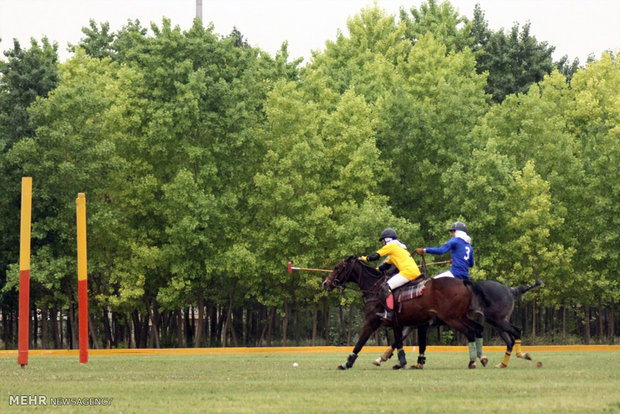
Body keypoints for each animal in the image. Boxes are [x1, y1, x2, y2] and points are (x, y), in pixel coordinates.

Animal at [322, 258, 482, 370]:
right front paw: (400, 361)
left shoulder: (372, 321)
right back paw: (481, 358)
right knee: (477, 328)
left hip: (451, 318)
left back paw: (472, 361)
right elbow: (398, 341)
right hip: (459, 316)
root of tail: (464, 283)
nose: (325, 283)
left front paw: (346, 364)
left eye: (337, 267)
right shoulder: (399, 323)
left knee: (470, 331)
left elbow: (360, 342)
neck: (374, 288)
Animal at [372, 278, 544, 368]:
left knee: (515, 332)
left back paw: (520, 355)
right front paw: (381, 358)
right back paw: (501, 363)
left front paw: (417, 363)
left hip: (496, 320)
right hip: (498, 322)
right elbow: (397, 341)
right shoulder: (412, 325)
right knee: (509, 340)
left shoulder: (421, 325)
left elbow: (415, 343)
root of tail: (510, 289)